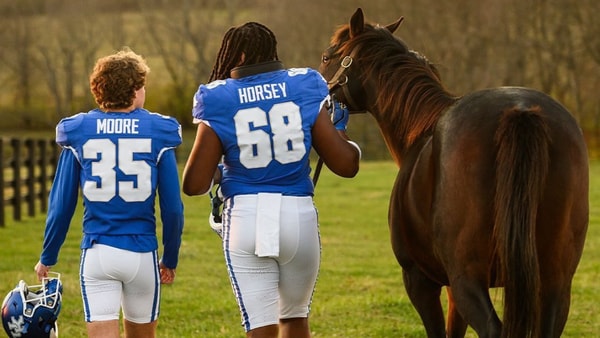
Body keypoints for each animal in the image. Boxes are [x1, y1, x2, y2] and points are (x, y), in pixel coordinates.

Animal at [322, 7, 588, 338]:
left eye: (327, 57)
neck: (421, 131)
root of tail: (520, 111)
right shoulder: (452, 290)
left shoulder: (421, 280)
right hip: (554, 282)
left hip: (468, 279)